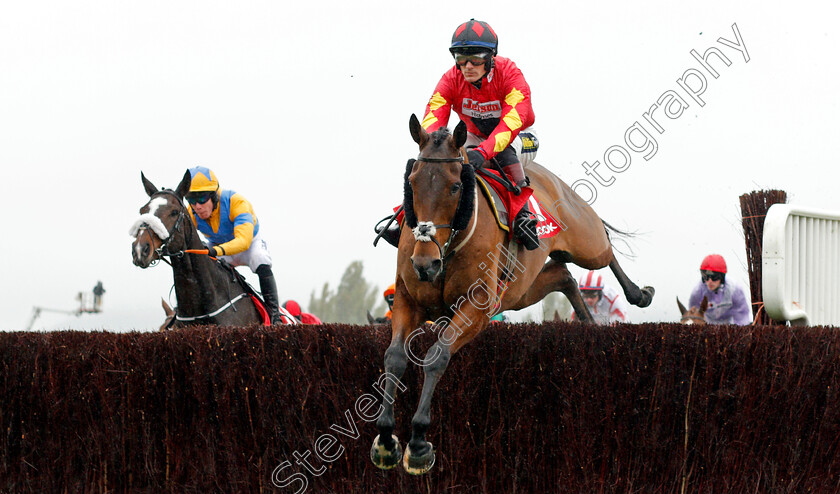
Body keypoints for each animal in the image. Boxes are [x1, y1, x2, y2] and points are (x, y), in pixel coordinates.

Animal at [372, 116, 656, 474]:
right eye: (412, 183)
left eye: (455, 187)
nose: (425, 264)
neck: (449, 247)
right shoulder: (409, 303)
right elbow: (394, 357)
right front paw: (385, 439)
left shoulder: (478, 308)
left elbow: (437, 356)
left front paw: (419, 442)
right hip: (521, 291)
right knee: (562, 274)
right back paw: (589, 323)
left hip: (584, 240)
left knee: (605, 247)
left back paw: (639, 294)